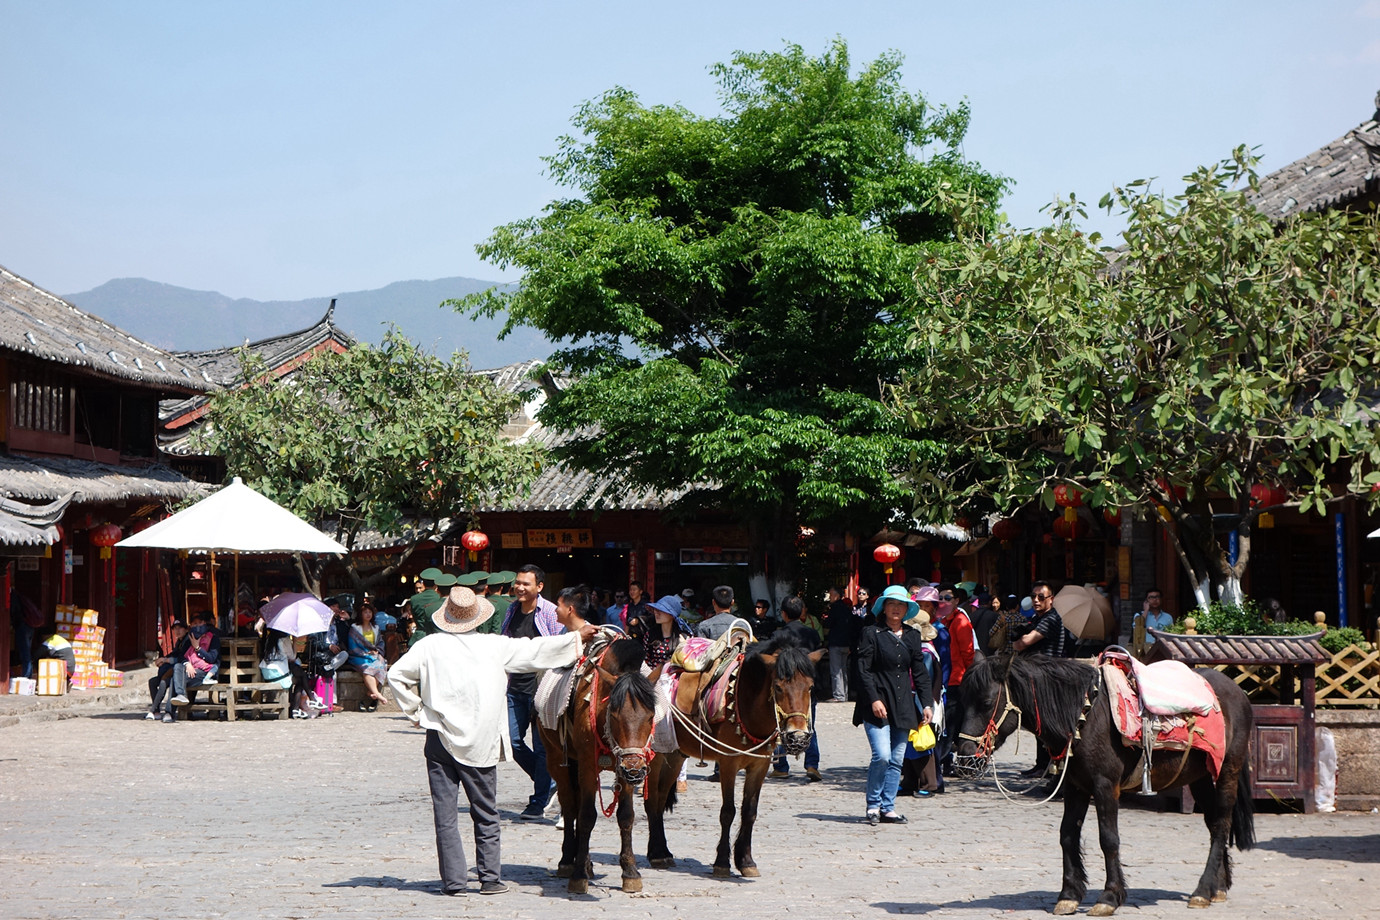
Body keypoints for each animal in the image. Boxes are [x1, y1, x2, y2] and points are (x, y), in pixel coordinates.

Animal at [538, 637, 662, 893]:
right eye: (614, 715)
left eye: (650, 716)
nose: (635, 769)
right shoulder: (587, 766)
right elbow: (586, 816)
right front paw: (578, 876)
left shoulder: (624, 770)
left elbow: (626, 816)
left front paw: (630, 872)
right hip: (557, 760)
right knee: (570, 807)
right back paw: (569, 861)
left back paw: (585, 862)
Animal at [643, 634, 822, 877]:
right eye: (778, 687)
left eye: (810, 687)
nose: (798, 737)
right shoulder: (728, 764)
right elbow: (728, 811)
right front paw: (722, 862)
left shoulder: (759, 767)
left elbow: (750, 812)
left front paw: (746, 861)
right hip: (657, 755)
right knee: (652, 800)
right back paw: (656, 854)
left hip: (675, 755)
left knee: (661, 799)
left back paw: (663, 851)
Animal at [954, 651, 1258, 915]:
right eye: (961, 701)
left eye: (986, 702)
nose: (964, 759)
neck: (1083, 717)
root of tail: (1239, 693)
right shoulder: (1075, 786)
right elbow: (1067, 834)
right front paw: (1069, 895)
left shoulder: (1105, 786)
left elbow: (1108, 839)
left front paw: (1109, 897)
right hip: (1201, 777)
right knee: (1214, 822)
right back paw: (1218, 887)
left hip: (1227, 771)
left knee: (1221, 825)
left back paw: (1203, 890)